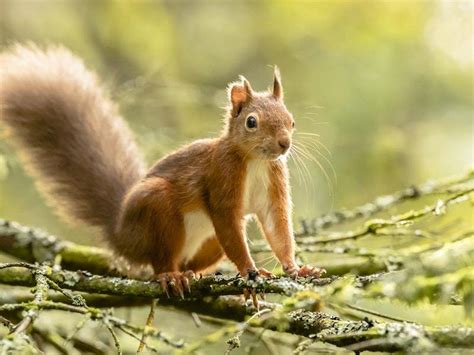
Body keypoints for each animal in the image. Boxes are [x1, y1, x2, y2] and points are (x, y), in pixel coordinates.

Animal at [0, 43, 324, 294]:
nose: (284, 144)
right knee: (160, 260)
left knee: (192, 260)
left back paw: (192, 273)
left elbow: (277, 227)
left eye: (291, 120)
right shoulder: (221, 177)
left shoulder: (273, 183)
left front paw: (296, 268)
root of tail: (121, 234)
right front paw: (249, 270)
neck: (256, 160)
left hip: (208, 242)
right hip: (156, 209)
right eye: (251, 122)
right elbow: (228, 223)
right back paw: (170, 275)